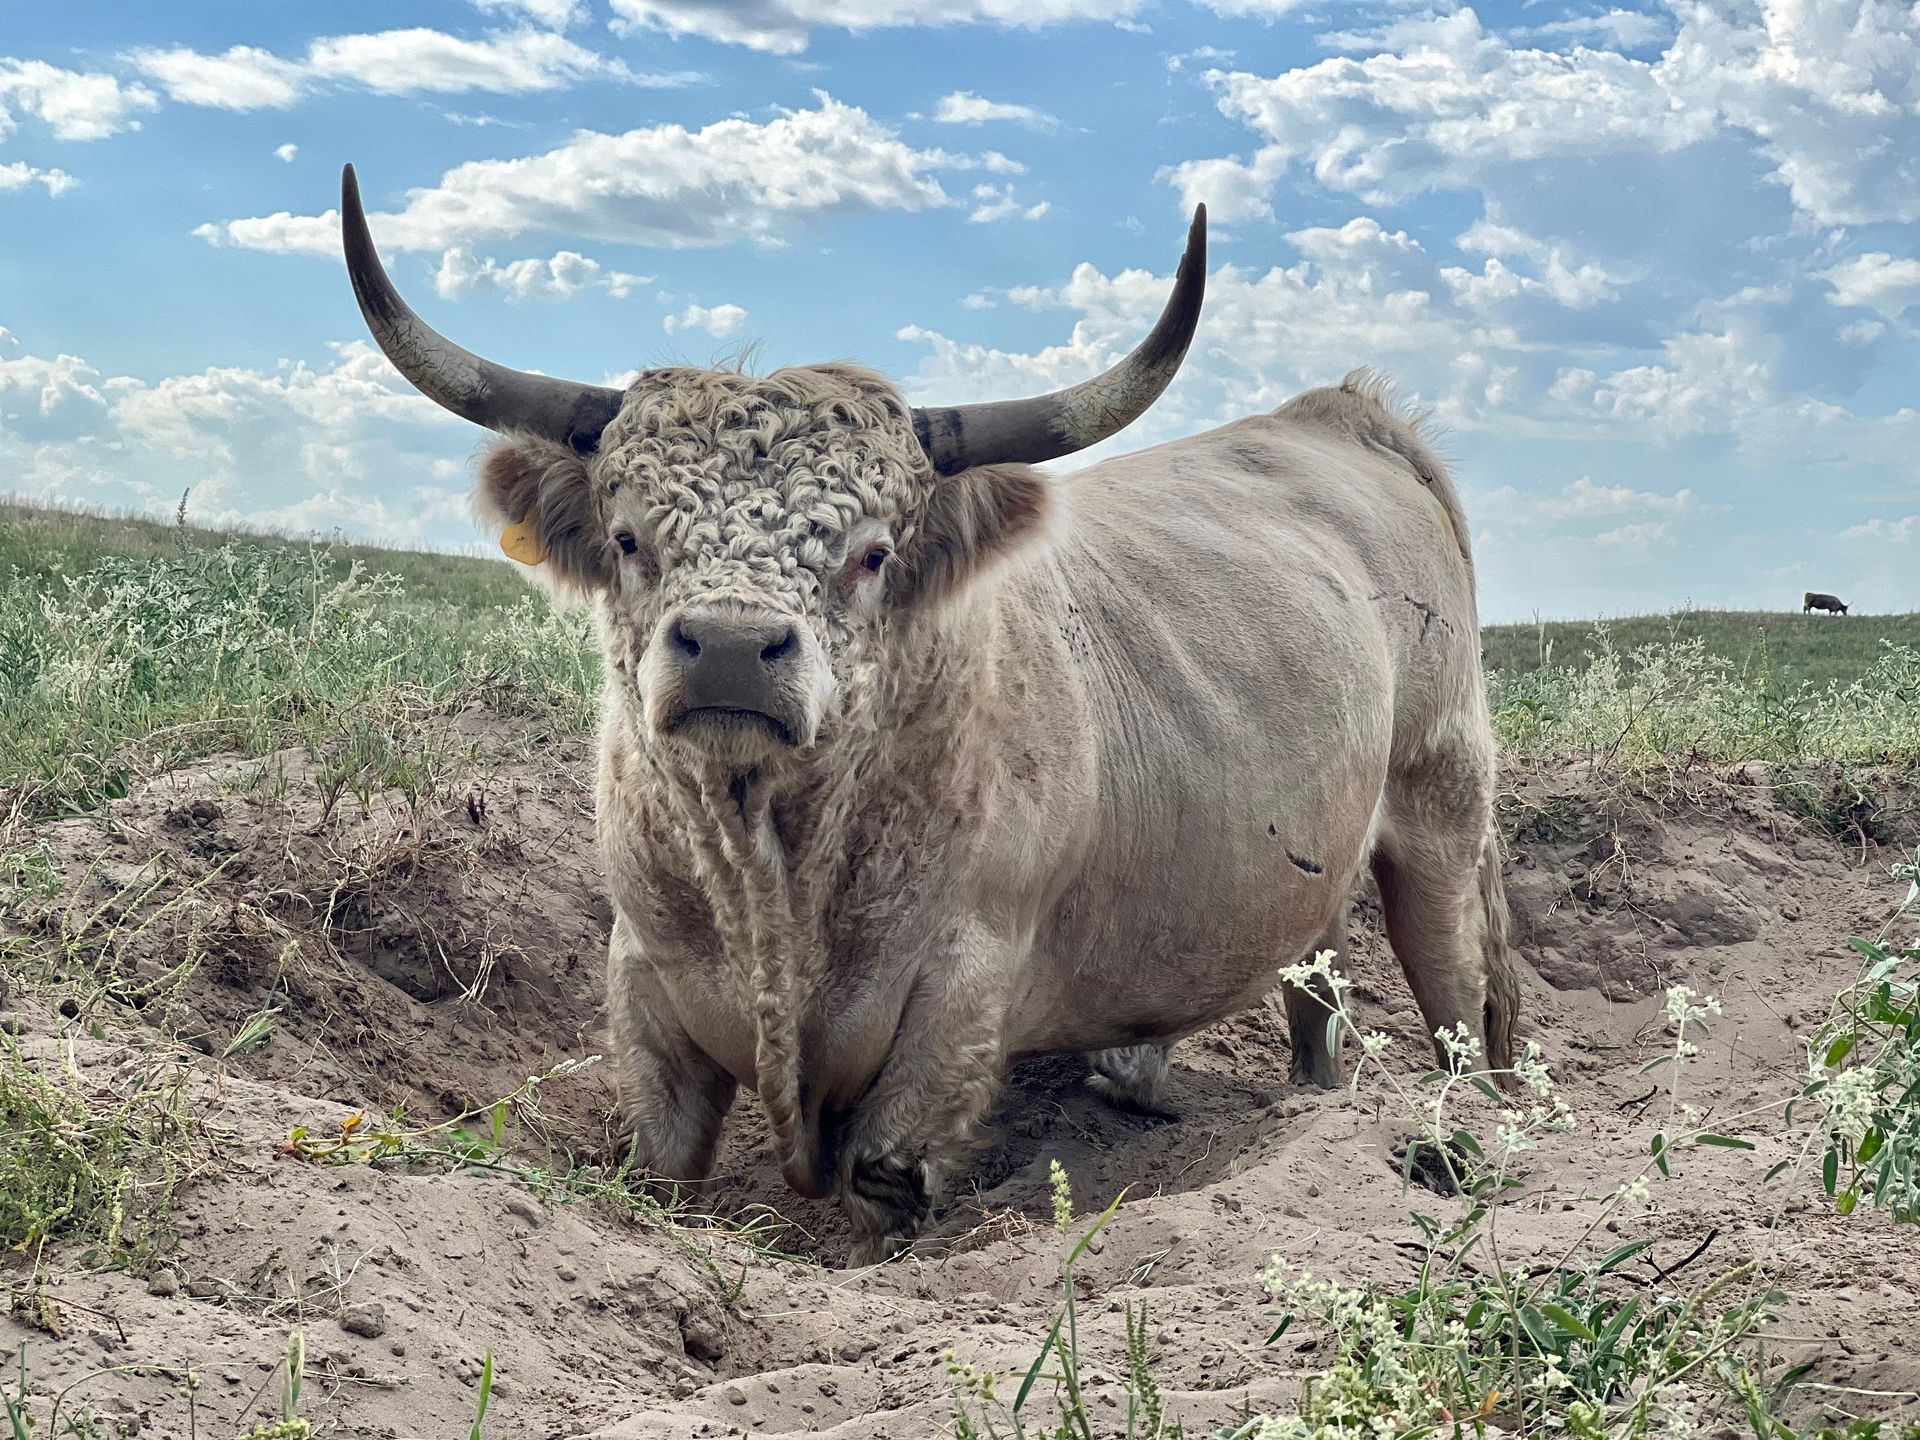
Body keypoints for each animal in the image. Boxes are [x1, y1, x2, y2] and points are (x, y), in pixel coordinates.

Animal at [340, 165, 1520, 1264]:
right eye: (631, 539)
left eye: (873, 553)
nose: (732, 648)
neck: (774, 871)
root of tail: (1351, 420)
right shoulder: (643, 991)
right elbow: (662, 1167)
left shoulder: (957, 1007)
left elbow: (887, 1181)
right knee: (1316, 997)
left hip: (1439, 810)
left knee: (1457, 995)